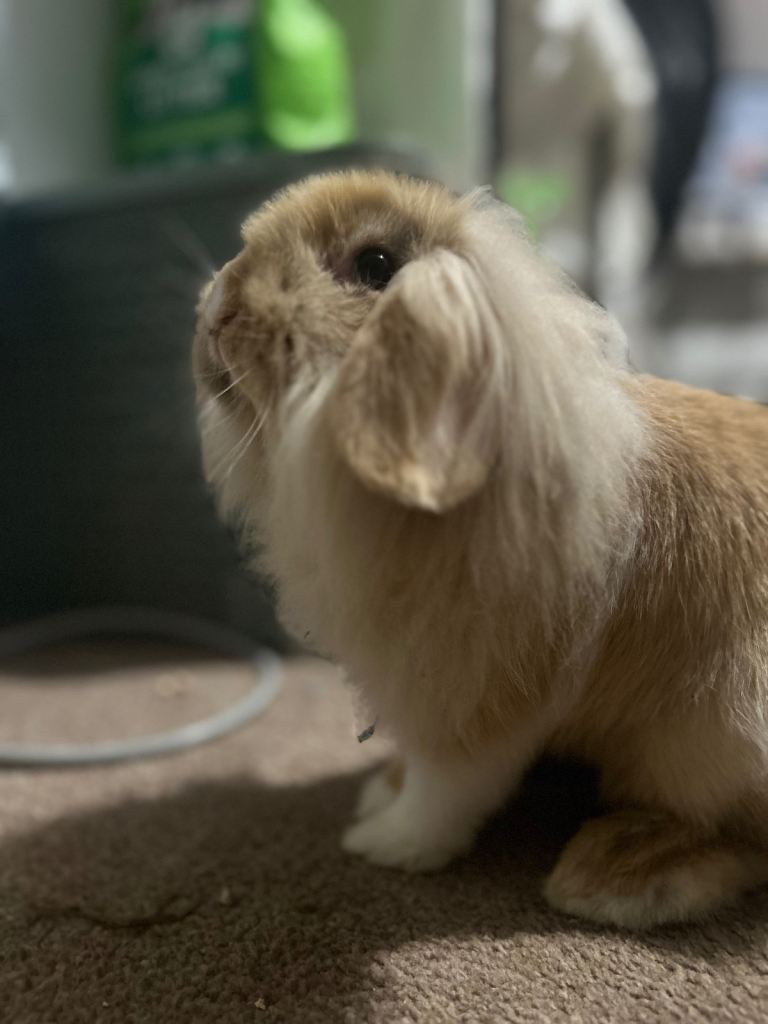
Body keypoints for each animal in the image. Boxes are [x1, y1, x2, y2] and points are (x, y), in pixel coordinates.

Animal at [192, 170, 768, 929]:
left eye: (376, 264)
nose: (218, 306)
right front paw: (381, 789)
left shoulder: (477, 699)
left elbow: (445, 791)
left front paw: (384, 843)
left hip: (709, 735)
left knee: (736, 834)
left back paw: (611, 875)